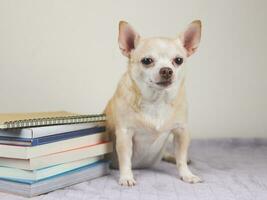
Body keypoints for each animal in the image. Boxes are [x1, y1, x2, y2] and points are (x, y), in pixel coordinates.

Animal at [105, 20, 202, 186]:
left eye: (178, 60)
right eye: (147, 61)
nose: (167, 70)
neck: (157, 100)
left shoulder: (181, 131)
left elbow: (181, 158)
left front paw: (187, 174)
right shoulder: (124, 134)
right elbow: (125, 159)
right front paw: (126, 177)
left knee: (170, 155)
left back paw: (172, 157)